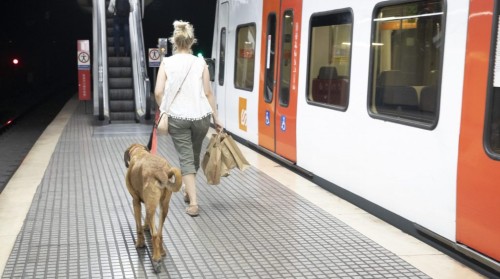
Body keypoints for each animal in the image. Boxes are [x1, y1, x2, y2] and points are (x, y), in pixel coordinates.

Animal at [123, 144, 182, 274]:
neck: (139, 152)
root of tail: (160, 171)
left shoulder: (135, 202)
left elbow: (138, 227)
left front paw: (140, 243)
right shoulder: (148, 203)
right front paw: (146, 226)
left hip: (151, 206)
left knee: (155, 235)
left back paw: (156, 258)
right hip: (163, 206)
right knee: (159, 233)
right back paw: (161, 251)